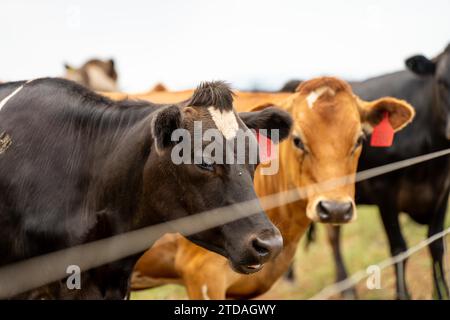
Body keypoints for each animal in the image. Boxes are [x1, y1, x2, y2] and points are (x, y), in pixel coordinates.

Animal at [282, 43, 450, 298]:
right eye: (441, 81)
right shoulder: (384, 190)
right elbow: (399, 248)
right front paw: (403, 295)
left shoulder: (443, 188)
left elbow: (436, 244)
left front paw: (442, 291)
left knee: (332, 234)